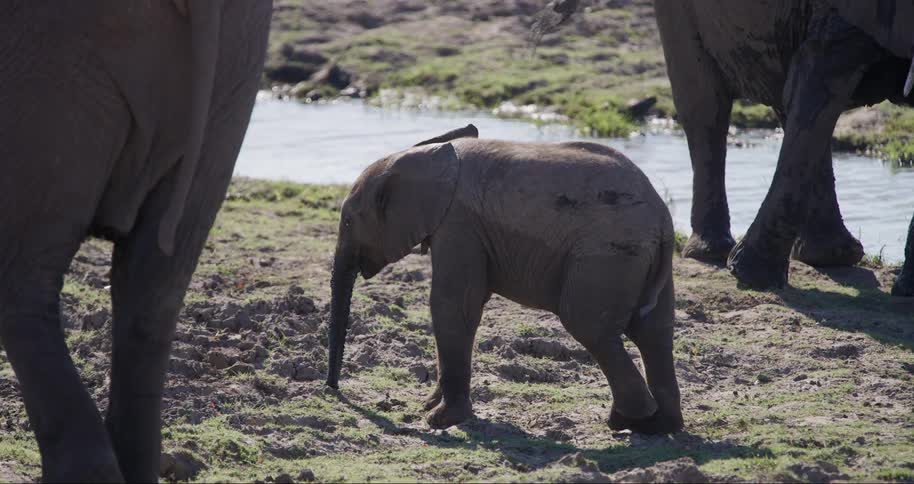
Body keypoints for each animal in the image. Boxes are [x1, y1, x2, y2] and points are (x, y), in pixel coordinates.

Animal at [326, 125, 683, 434]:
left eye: (348, 222)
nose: (332, 390)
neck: (421, 157)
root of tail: (663, 221)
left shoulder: (459, 222)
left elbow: (453, 304)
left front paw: (440, 420)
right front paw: (428, 404)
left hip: (607, 255)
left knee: (590, 326)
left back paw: (627, 420)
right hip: (638, 261)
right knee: (654, 331)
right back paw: (659, 426)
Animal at [651, 0, 914, 293]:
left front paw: (905, 290)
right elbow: (821, 80)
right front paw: (750, 276)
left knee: (789, 106)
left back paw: (832, 257)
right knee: (706, 105)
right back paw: (711, 252)